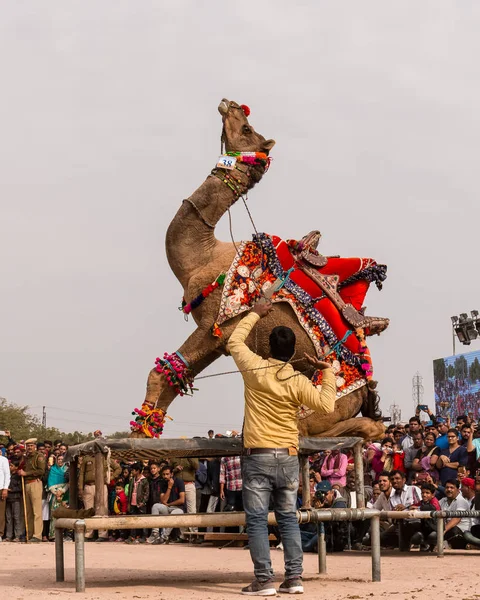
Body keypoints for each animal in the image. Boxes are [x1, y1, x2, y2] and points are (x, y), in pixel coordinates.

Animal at [130, 97, 386, 436]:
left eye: (247, 129)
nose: (230, 103)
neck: (203, 256)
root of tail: (365, 390)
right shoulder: (218, 340)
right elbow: (174, 378)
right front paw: (146, 431)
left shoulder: (216, 325)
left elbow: (159, 374)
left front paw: (135, 440)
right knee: (367, 425)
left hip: (325, 397)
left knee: (324, 427)